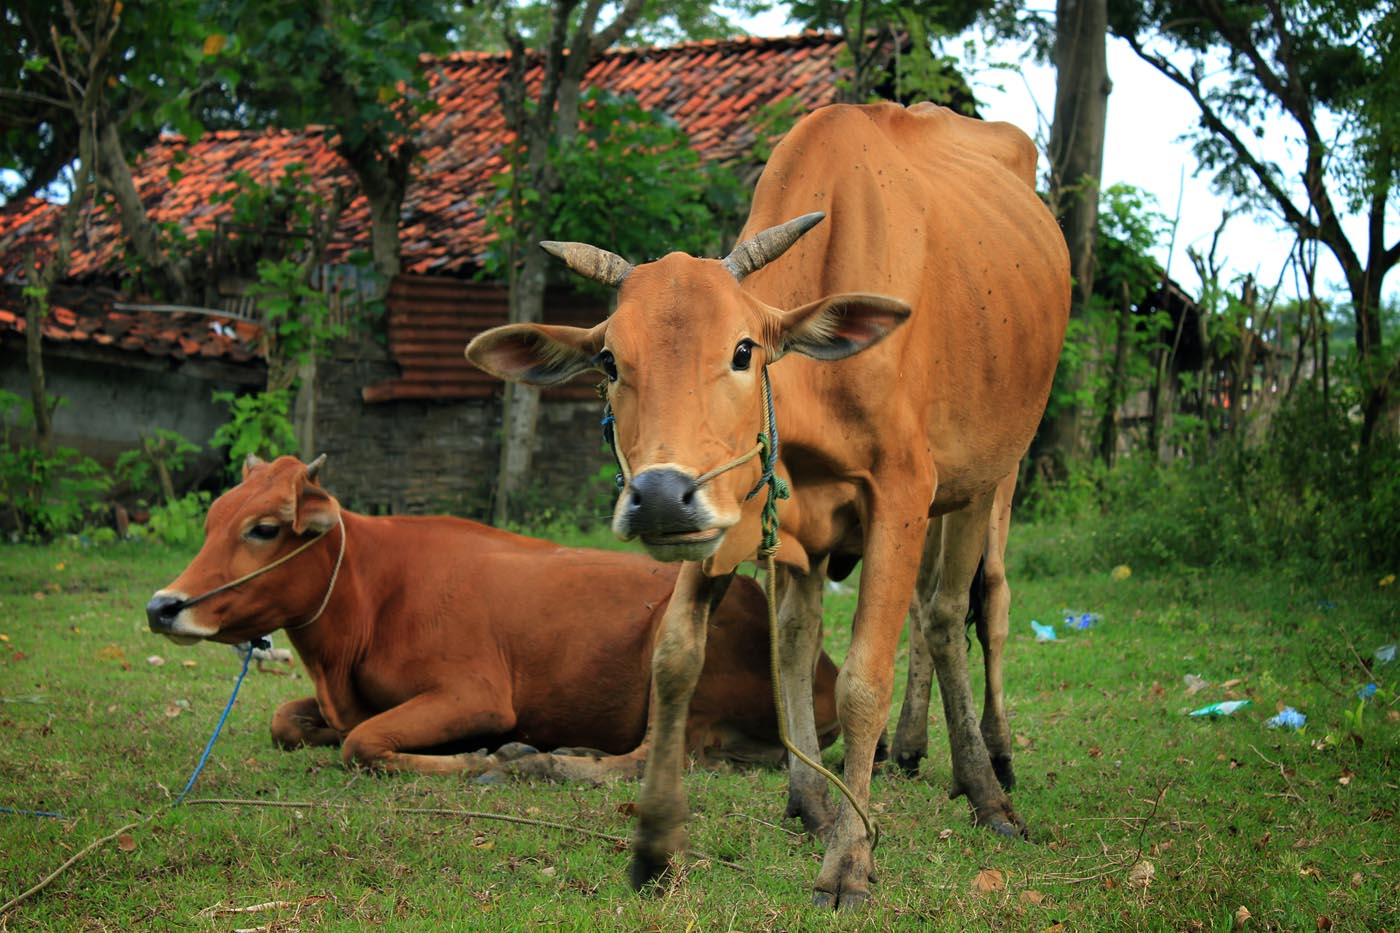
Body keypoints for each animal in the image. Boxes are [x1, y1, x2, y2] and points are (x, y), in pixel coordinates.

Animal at [146, 453, 834, 773]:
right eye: (211, 521)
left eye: (263, 529)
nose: (162, 606)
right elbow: (286, 722)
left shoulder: (475, 694)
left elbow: (363, 742)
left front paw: (477, 756)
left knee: (648, 757)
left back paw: (542, 760)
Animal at [464, 100, 1064, 902]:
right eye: (610, 361)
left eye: (744, 350)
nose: (660, 498)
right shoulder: (733, 506)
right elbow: (683, 657)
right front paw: (657, 841)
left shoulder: (904, 490)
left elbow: (863, 682)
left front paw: (850, 859)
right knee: (821, 628)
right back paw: (845, 782)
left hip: (992, 473)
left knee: (963, 610)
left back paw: (989, 779)